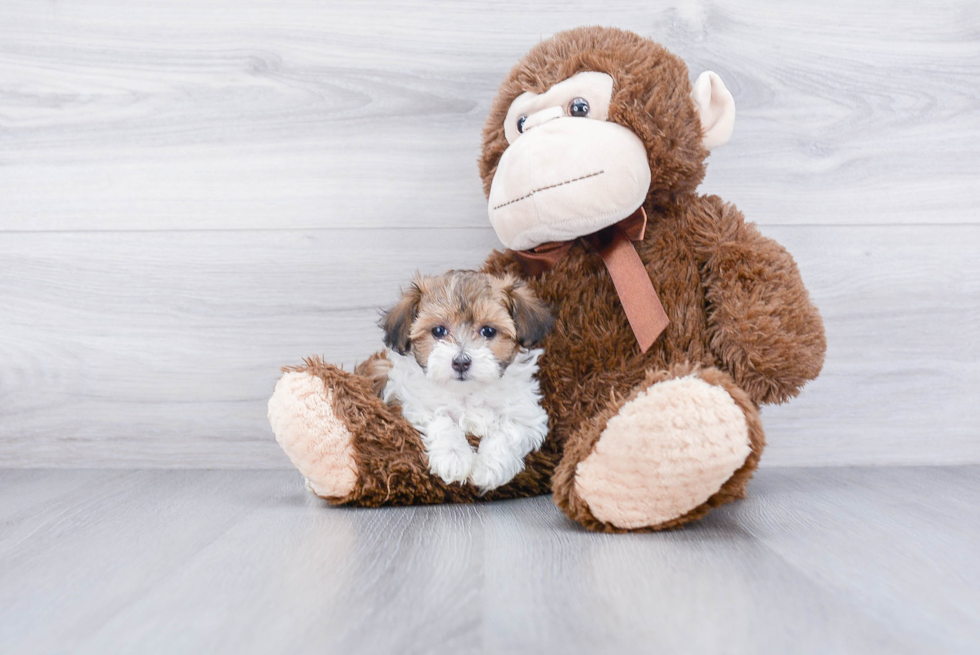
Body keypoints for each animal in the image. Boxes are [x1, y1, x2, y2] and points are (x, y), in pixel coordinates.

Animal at [368, 270, 552, 492]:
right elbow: (441, 420)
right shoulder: (414, 404)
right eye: (438, 331)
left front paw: (489, 467)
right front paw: (453, 458)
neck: (467, 393)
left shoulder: (526, 413)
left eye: (488, 331)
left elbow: (508, 430)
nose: (461, 362)